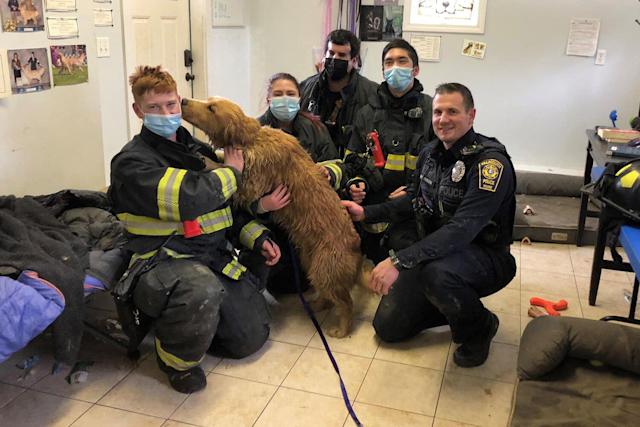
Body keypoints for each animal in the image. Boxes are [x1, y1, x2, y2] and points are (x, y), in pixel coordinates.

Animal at [181, 97, 370, 338]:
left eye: (211, 108)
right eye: (208, 101)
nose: (183, 100)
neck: (252, 138)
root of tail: (358, 255)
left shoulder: (249, 184)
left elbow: (228, 169)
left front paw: (206, 158)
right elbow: (224, 159)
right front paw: (214, 154)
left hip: (325, 269)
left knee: (346, 303)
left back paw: (342, 329)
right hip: (311, 264)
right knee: (329, 296)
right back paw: (317, 304)